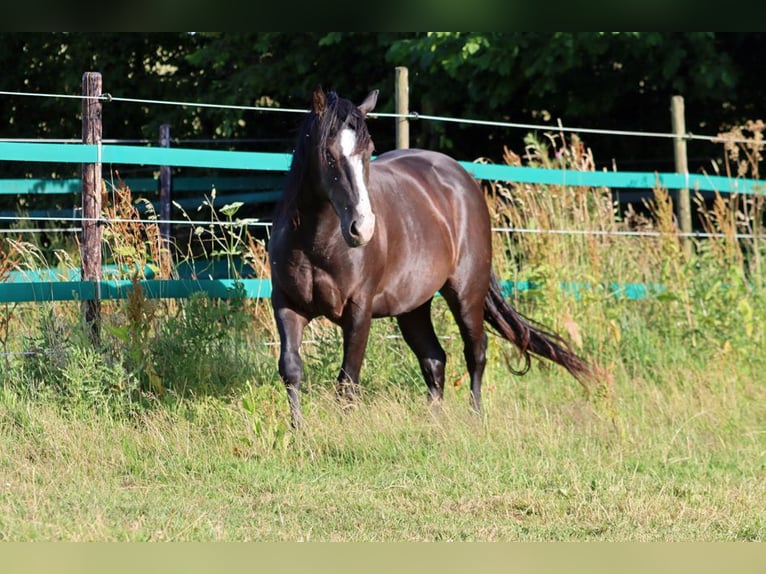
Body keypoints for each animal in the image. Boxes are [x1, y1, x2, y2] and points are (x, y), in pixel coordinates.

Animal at [268, 87, 592, 428]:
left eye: (368, 151)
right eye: (328, 154)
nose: (363, 228)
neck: (319, 244)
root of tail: (462, 178)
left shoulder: (358, 311)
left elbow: (348, 380)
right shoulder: (287, 305)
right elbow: (291, 369)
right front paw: (298, 430)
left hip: (466, 293)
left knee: (475, 351)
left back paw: (475, 417)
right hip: (413, 307)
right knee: (434, 359)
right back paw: (434, 423)